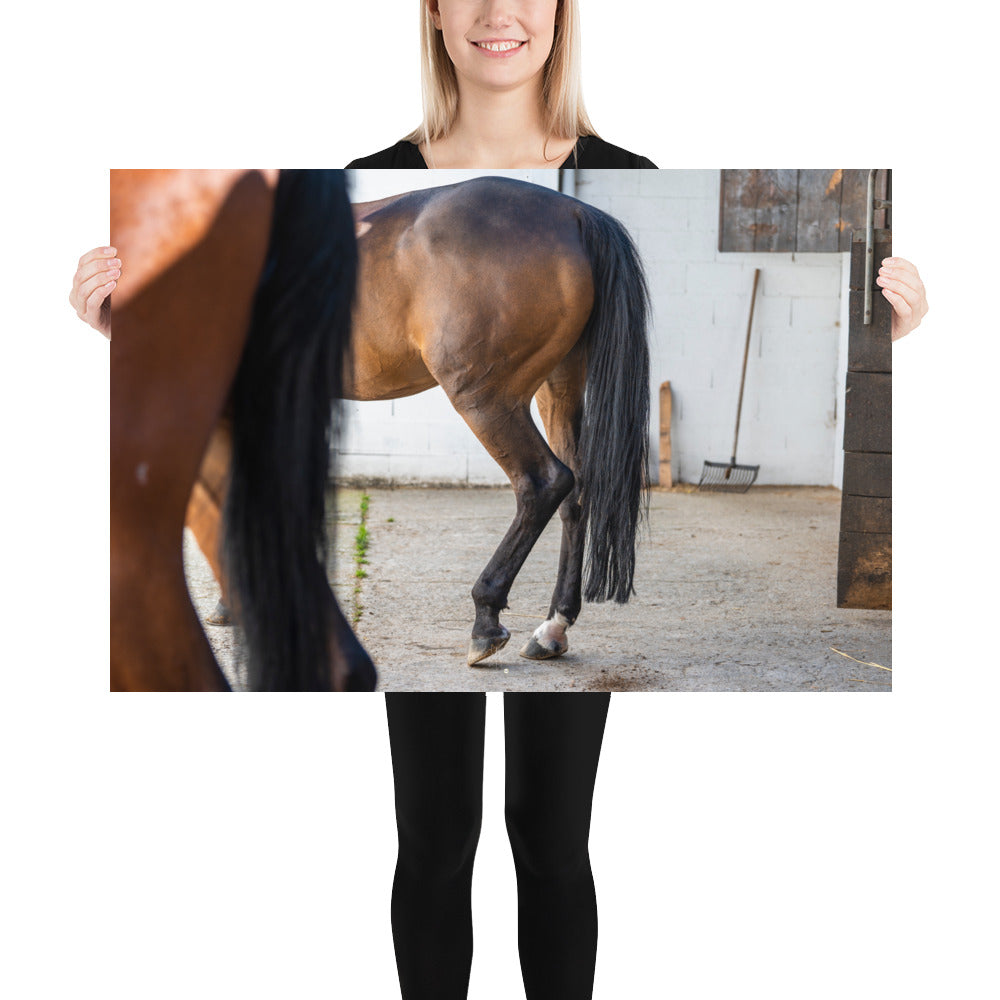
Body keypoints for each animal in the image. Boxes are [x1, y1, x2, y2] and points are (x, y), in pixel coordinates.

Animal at [191, 176, 652, 668]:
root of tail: (573, 213)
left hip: (486, 398)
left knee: (544, 483)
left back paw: (486, 619)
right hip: (559, 388)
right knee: (577, 493)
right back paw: (552, 629)